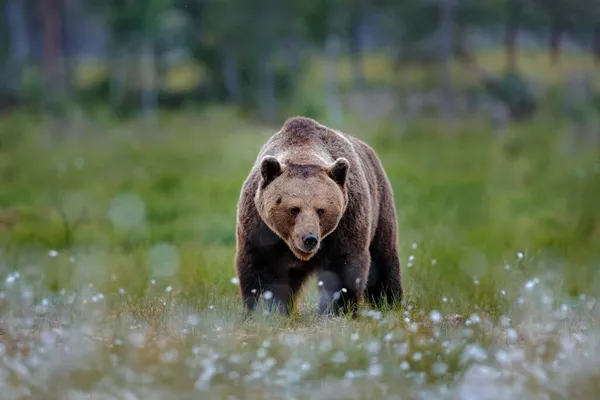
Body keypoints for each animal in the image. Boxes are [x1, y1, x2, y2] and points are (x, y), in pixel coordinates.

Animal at [234, 115, 404, 318]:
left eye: (321, 210)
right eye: (294, 209)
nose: (310, 239)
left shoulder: (347, 221)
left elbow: (345, 266)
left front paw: (340, 309)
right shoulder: (259, 227)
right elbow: (258, 266)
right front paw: (262, 309)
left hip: (381, 205)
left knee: (383, 258)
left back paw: (390, 302)